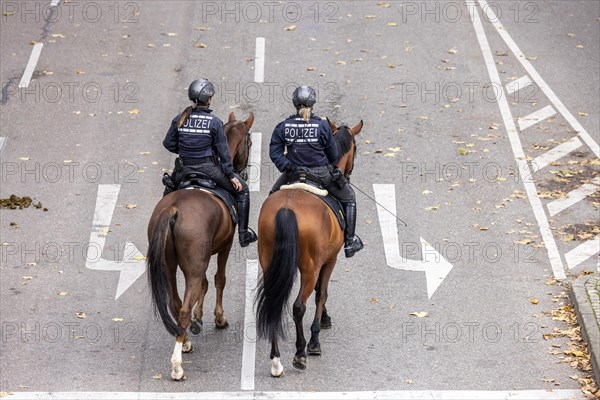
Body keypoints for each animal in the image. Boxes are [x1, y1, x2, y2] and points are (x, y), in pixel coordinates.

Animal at [150, 111, 255, 380]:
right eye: (250, 142)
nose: (242, 174)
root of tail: (173, 209)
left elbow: (206, 285)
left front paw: (200, 318)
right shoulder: (225, 245)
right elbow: (219, 279)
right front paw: (219, 318)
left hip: (170, 266)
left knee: (176, 303)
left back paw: (186, 338)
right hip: (193, 267)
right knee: (184, 307)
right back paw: (177, 363)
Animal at [253, 117, 360, 376]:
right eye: (356, 148)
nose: (347, 174)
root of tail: (287, 208)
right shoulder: (329, 260)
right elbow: (321, 293)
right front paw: (316, 336)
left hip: (269, 262)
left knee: (274, 302)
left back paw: (276, 360)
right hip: (309, 268)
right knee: (298, 306)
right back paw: (300, 352)